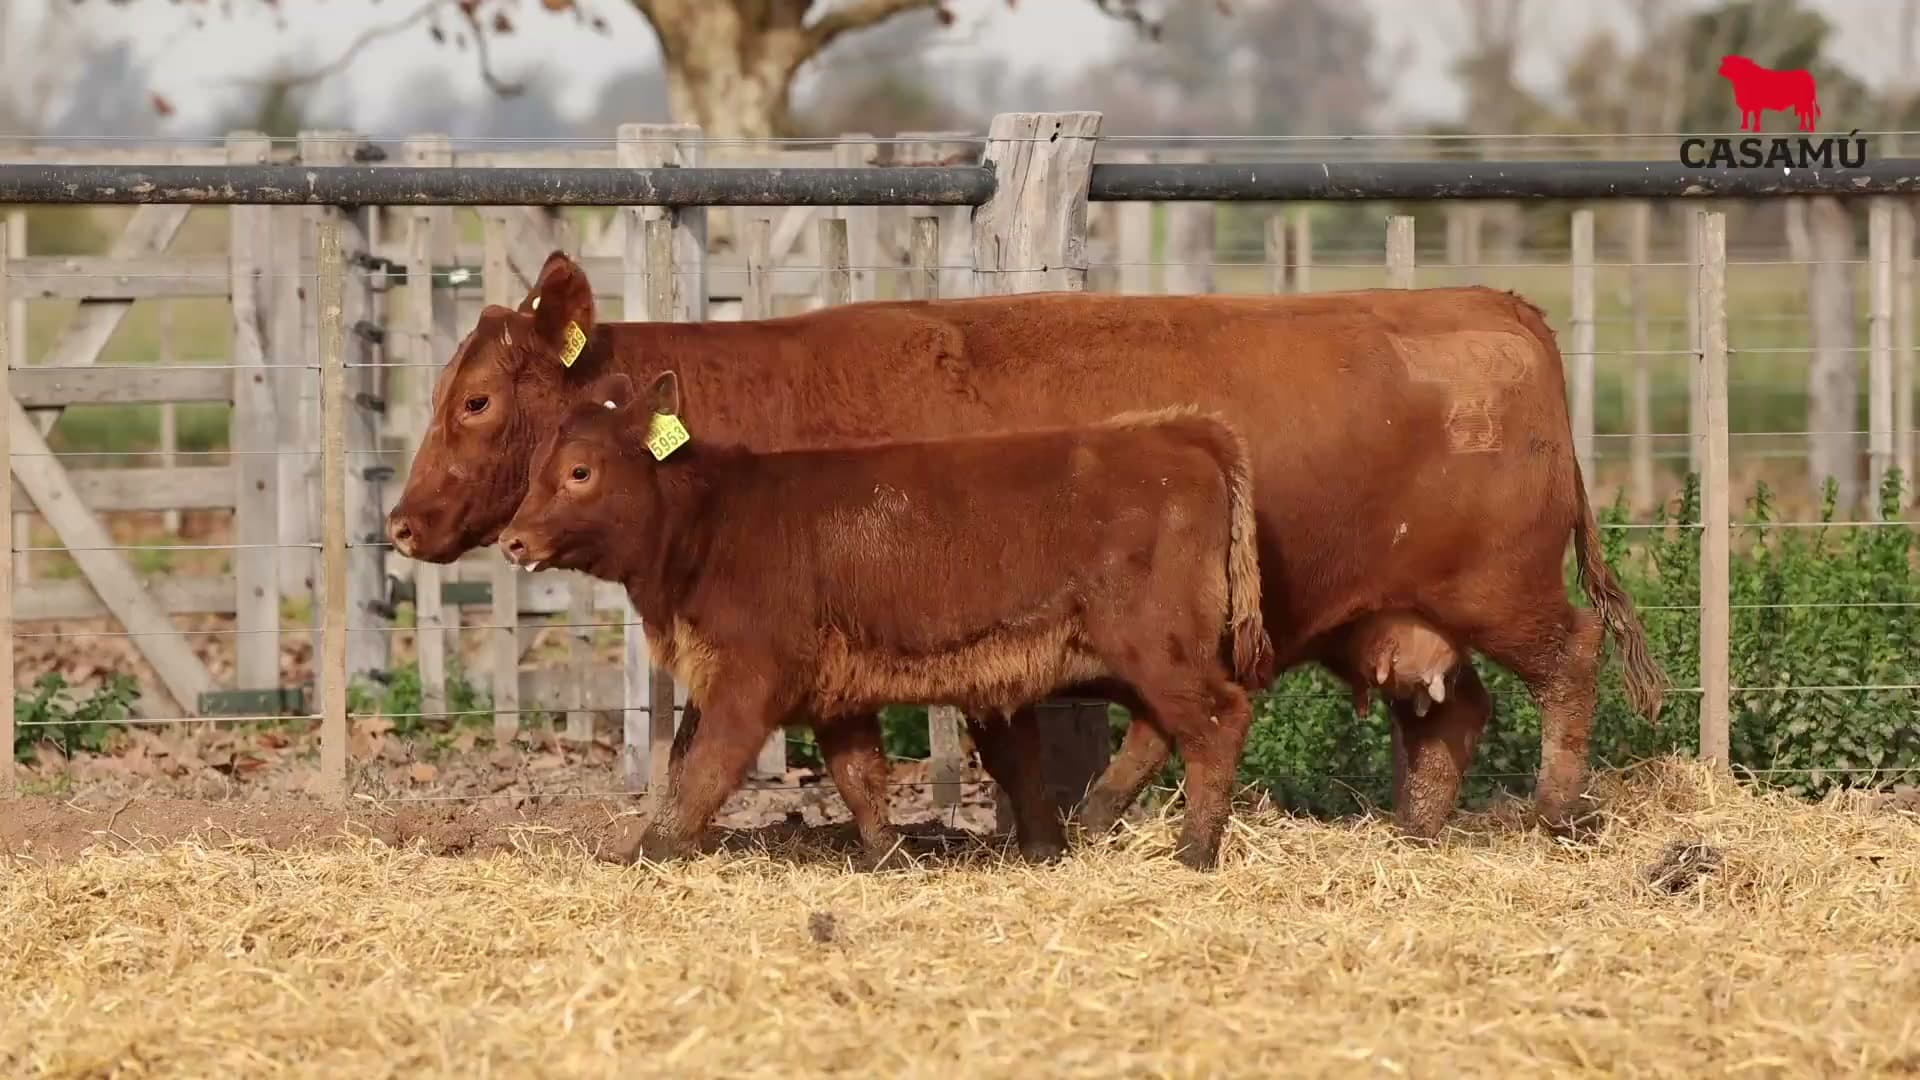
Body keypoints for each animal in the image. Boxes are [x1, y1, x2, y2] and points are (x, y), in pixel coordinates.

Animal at [496, 371, 1276, 869]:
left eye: (580, 472)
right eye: (535, 469)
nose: (512, 541)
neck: (715, 521)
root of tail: (1176, 430)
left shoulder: (750, 681)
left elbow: (703, 770)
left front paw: (647, 854)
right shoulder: (833, 693)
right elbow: (858, 775)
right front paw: (888, 856)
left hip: (1153, 641)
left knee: (1217, 718)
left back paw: (1194, 852)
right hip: (1137, 650)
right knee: (1159, 727)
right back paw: (1087, 825)